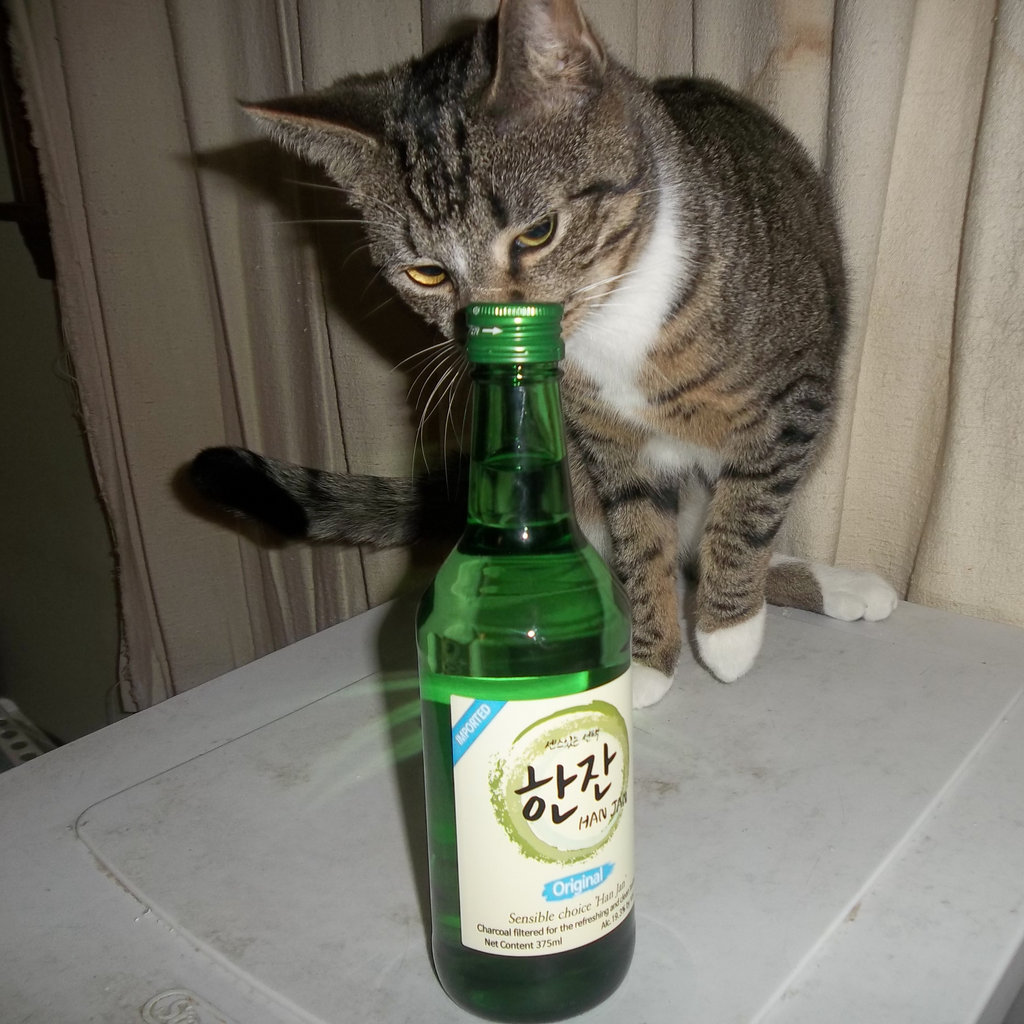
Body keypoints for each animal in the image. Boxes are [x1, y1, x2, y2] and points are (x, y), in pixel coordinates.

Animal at [190, 0, 898, 708]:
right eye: (426, 273)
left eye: (537, 233)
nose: (488, 331)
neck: (614, 321)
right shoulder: (607, 444)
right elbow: (641, 536)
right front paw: (645, 658)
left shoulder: (794, 394)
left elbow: (749, 507)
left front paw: (726, 634)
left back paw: (831, 585)